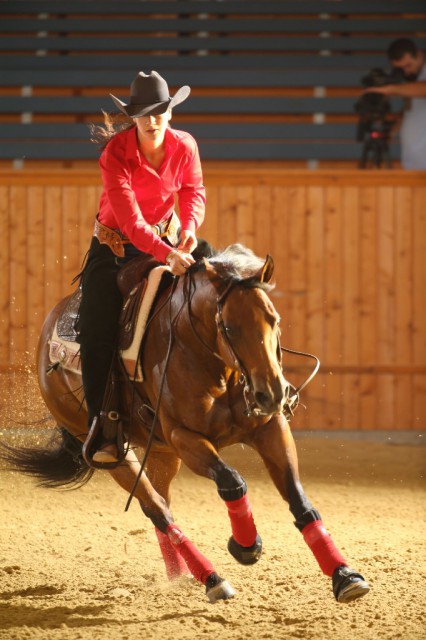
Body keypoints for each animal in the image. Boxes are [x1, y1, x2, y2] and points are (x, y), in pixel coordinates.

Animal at [1, 242, 370, 604]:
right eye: (228, 327)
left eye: (274, 320)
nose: (273, 393)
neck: (215, 366)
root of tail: (48, 332)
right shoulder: (185, 436)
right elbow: (232, 481)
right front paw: (245, 546)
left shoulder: (269, 428)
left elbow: (298, 497)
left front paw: (345, 575)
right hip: (114, 452)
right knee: (157, 510)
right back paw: (213, 579)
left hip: (162, 454)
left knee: (162, 503)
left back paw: (181, 574)